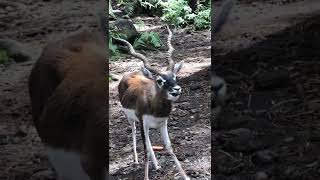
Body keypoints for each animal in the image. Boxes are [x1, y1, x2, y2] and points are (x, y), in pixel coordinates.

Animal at [114, 24, 189, 180]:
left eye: (175, 77)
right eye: (160, 81)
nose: (177, 89)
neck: (155, 107)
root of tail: (129, 73)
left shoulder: (162, 123)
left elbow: (169, 147)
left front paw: (185, 176)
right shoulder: (143, 122)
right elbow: (146, 150)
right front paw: (146, 177)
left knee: (148, 141)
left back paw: (157, 165)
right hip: (132, 119)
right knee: (134, 133)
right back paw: (136, 161)